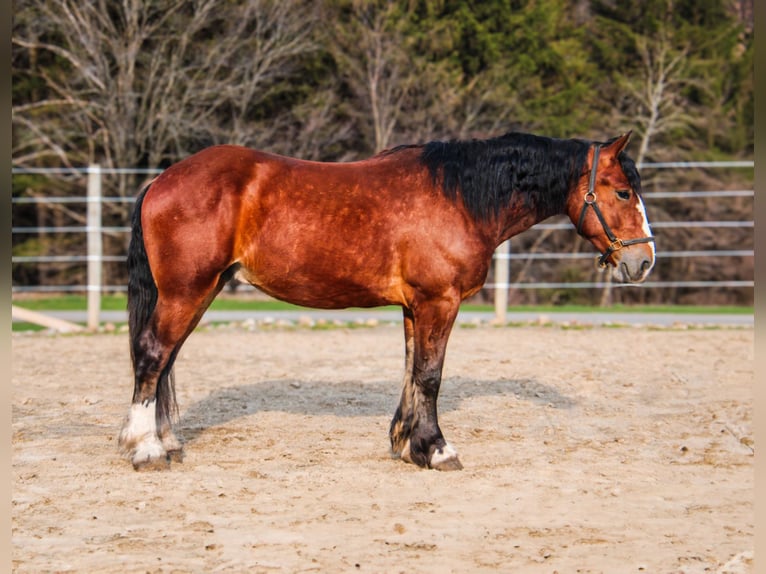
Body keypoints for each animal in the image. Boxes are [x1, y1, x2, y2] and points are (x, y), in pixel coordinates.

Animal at [119, 130, 655, 471]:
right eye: (622, 193)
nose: (644, 261)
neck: (459, 196)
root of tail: (162, 180)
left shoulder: (415, 307)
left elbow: (412, 373)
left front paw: (406, 444)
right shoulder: (439, 302)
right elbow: (431, 376)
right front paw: (437, 450)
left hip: (199, 291)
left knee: (165, 360)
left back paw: (167, 442)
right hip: (187, 291)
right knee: (152, 355)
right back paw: (146, 450)